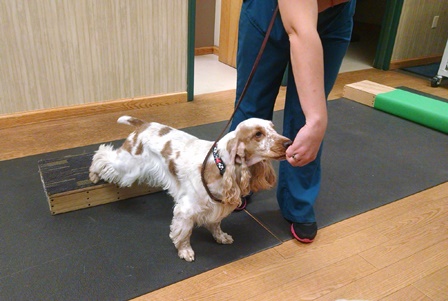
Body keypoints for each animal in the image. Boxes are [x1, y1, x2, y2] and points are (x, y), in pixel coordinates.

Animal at [89, 115, 292, 260]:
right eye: (258, 134)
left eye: (273, 128)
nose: (289, 143)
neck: (220, 165)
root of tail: (143, 124)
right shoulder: (186, 210)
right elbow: (184, 233)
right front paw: (185, 251)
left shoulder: (216, 205)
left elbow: (216, 224)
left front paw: (221, 237)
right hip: (127, 167)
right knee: (101, 154)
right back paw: (93, 174)